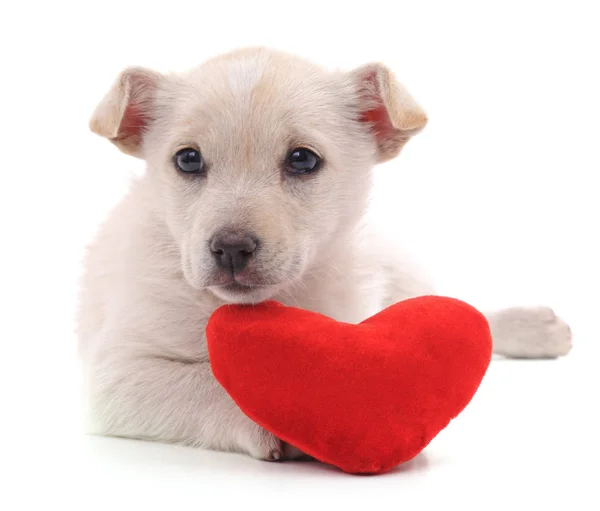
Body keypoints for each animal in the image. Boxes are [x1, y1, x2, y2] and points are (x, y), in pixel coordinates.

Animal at [79, 48, 572, 462]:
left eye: (302, 159)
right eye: (187, 160)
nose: (231, 248)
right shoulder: (119, 375)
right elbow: (207, 384)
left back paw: (531, 327)